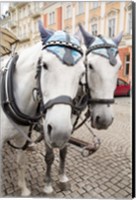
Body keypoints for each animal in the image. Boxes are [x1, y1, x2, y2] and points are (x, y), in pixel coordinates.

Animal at [0, 21, 85, 195]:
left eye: (81, 72)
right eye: (44, 65)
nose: (60, 132)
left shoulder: (21, 136)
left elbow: (21, 162)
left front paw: (24, 190)